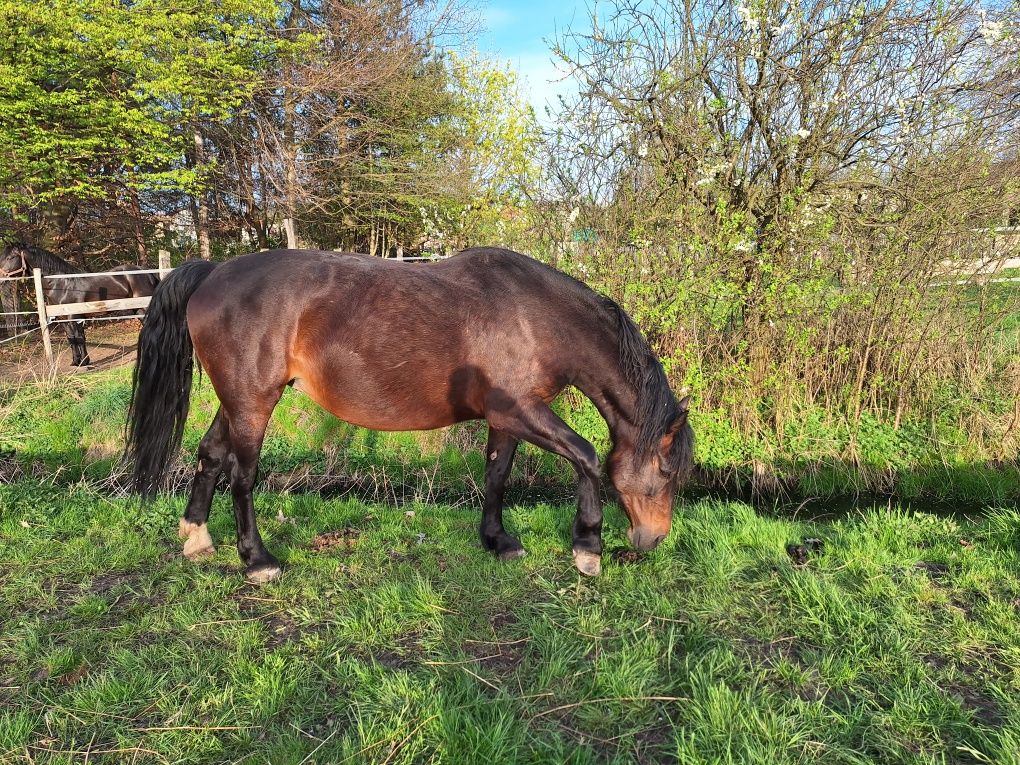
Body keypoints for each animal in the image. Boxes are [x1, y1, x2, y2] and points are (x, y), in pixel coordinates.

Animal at [0, 243, 158, 367]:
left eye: (10, 258)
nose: (1, 277)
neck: (61, 284)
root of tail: (147, 273)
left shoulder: (74, 316)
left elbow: (79, 338)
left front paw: (83, 362)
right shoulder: (64, 318)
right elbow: (71, 339)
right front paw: (76, 362)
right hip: (137, 309)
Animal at [121, 248, 693, 583]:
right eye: (666, 472)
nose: (653, 540)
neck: (535, 316)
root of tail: (214, 271)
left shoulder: (507, 418)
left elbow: (497, 475)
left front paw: (498, 541)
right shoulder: (523, 410)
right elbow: (588, 456)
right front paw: (588, 547)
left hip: (239, 400)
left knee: (210, 455)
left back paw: (197, 537)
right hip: (254, 403)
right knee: (242, 475)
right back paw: (258, 561)